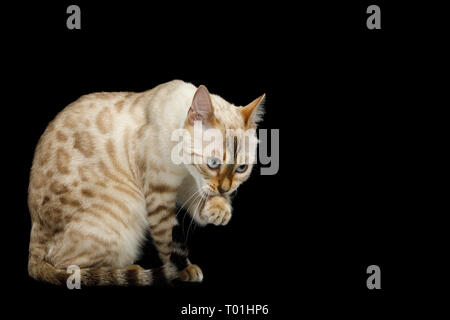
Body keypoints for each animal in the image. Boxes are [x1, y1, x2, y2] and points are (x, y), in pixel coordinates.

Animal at [27, 79, 264, 284]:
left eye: (241, 168)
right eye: (213, 163)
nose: (225, 188)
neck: (185, 169)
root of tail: (35, 234)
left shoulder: (188, 186)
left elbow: (203, 203)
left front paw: (220, 210)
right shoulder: (159, 194)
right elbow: (167, 238)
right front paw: (183, 270)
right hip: (124, 210)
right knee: (68, 267)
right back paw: (131, 270)